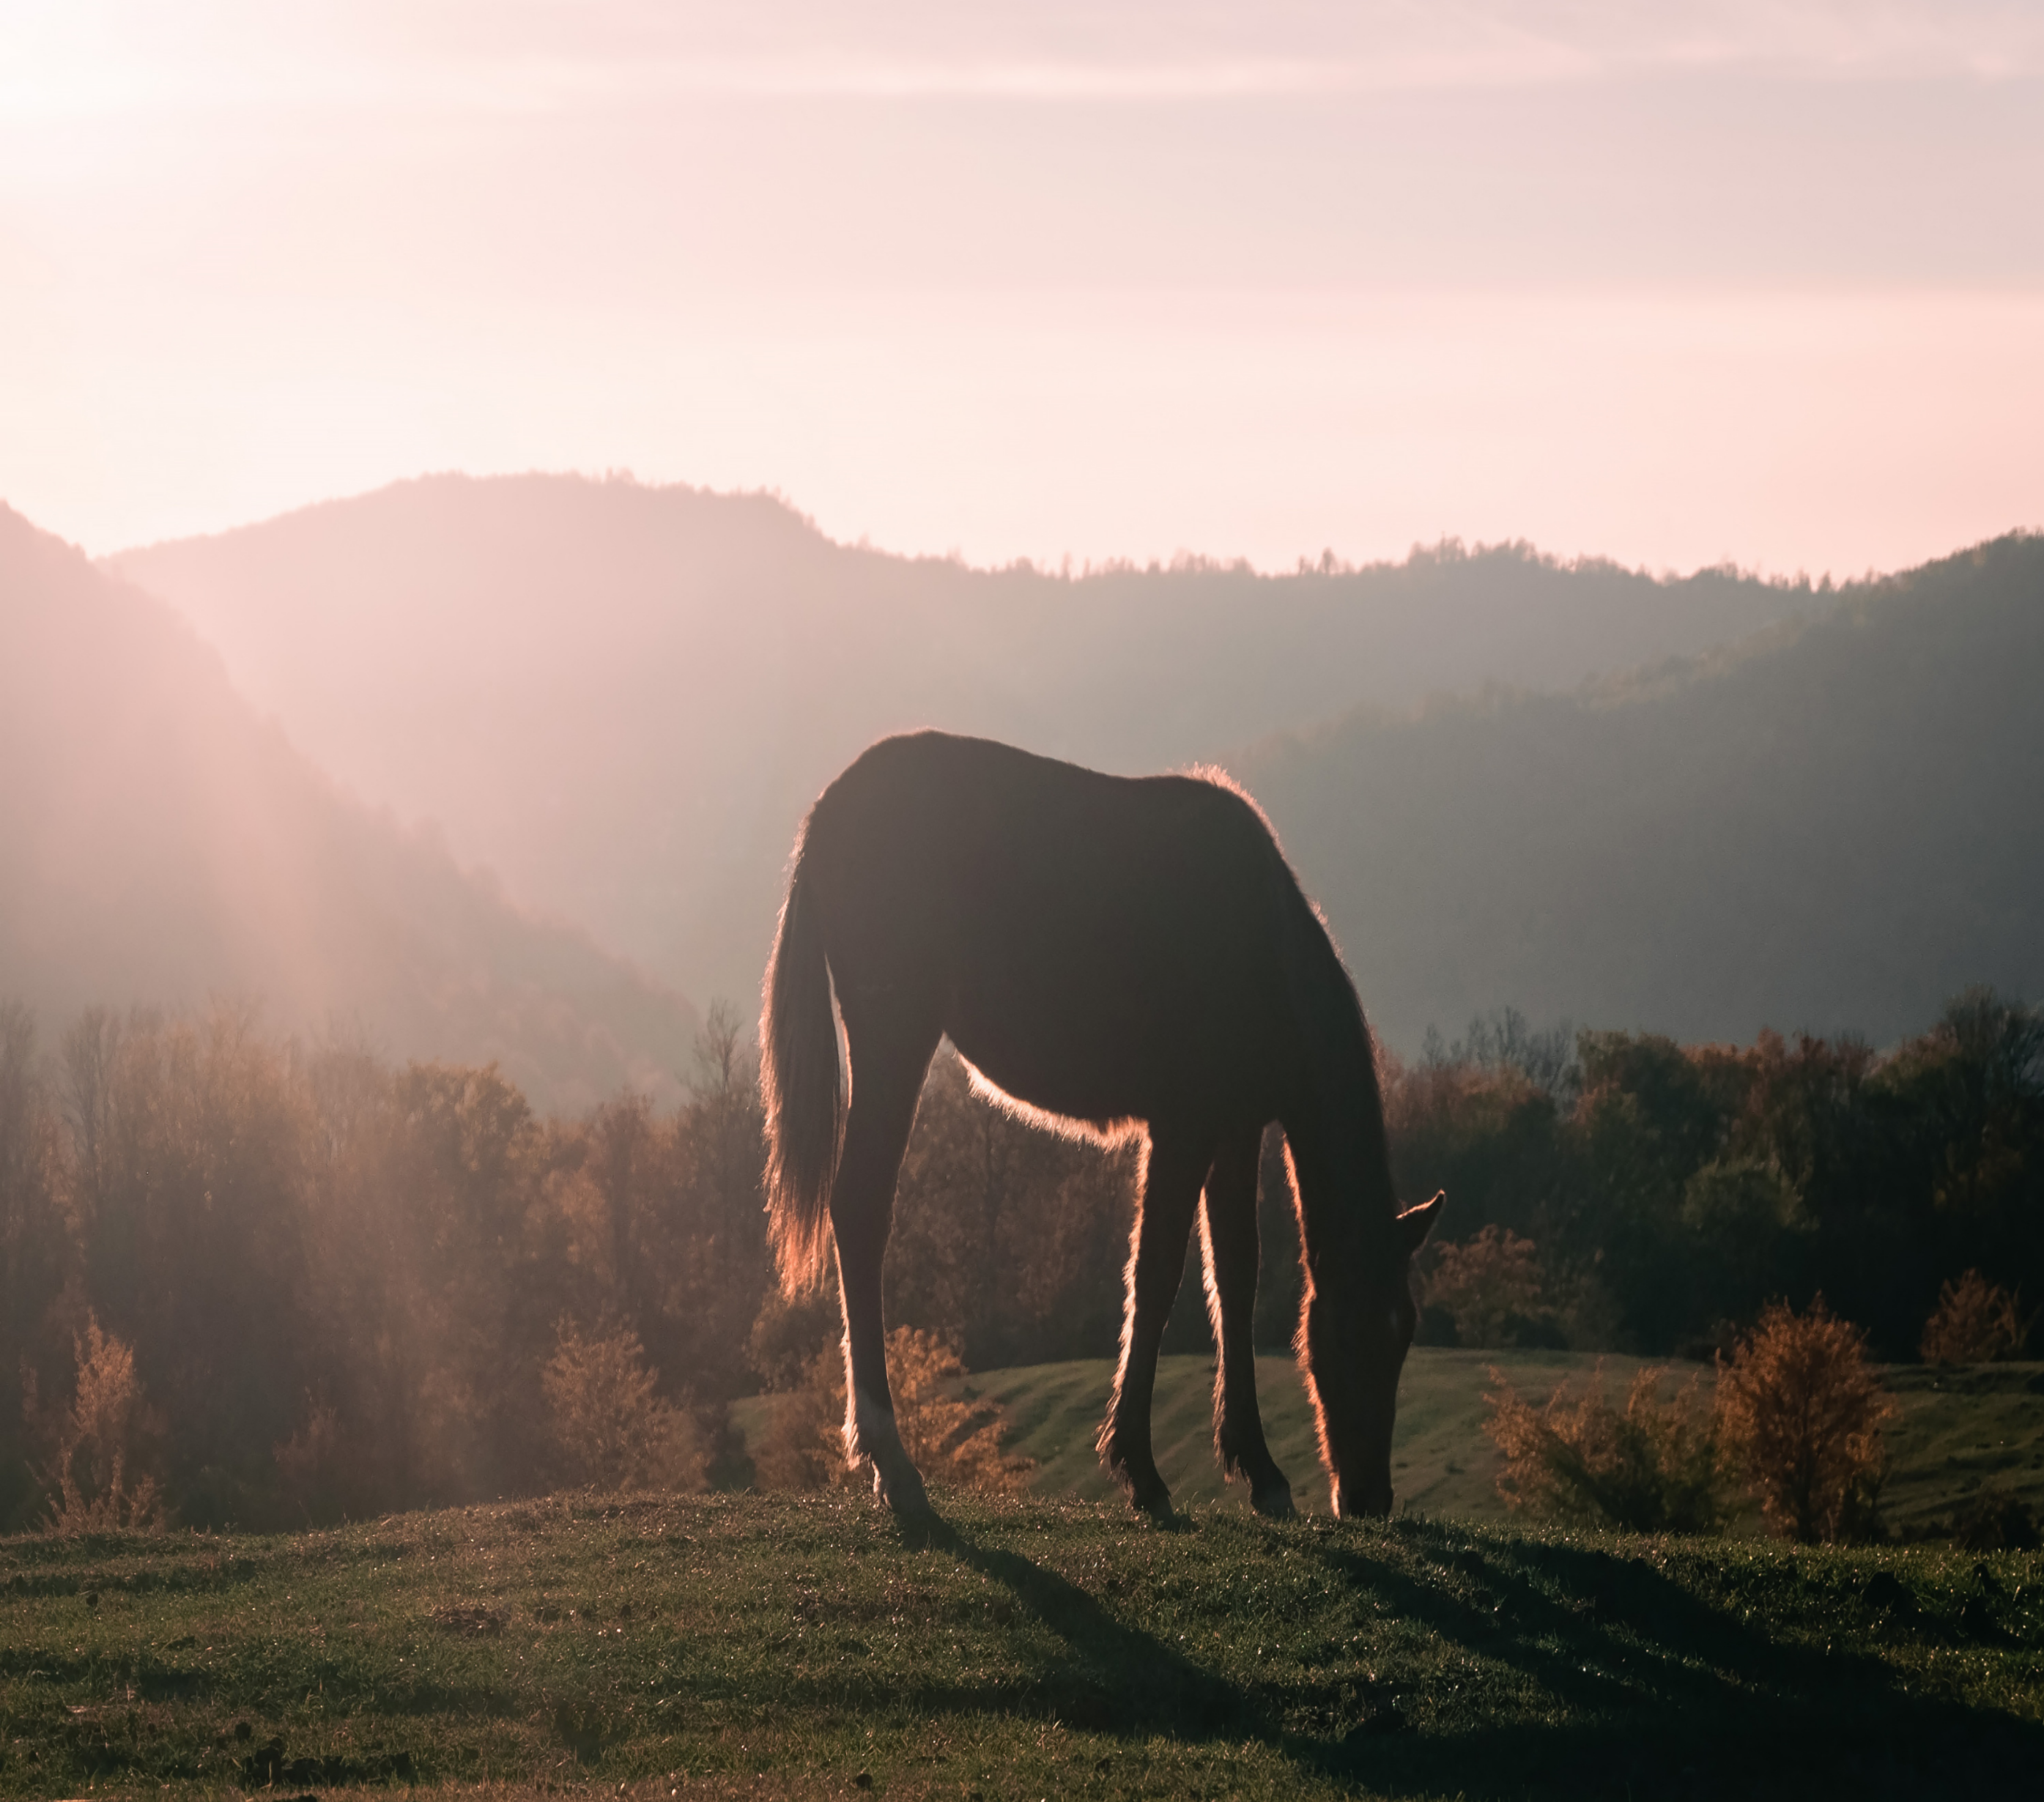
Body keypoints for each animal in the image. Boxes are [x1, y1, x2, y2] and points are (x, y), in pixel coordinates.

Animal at [760, 731, 1447, 1520]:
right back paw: (892, 1462)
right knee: (861, 1211)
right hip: (893, 1040)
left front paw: (1258, 1467)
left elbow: (1235, 1275)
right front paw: (1141, 1470)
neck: (1258, 939)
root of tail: (828, 813)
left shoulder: (1236, 1128)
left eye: (1406, 1332)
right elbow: (1156, 1275)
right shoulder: (1183, 1128)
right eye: (1355, 1331)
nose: (1369, 1497)